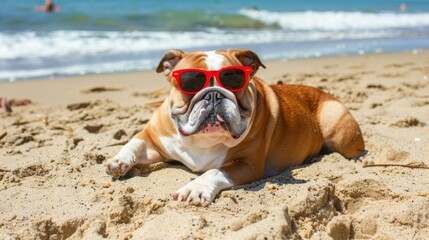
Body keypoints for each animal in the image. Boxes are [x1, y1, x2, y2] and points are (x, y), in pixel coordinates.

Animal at [105, 49, 362, 203]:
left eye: (235, 80)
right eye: (190, 82)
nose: (213, 94)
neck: (202, 140)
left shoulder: (247, 164)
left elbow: (215, 171)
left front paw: (195, 188)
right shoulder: (154, 138)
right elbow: (134, 143)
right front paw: (118, 161)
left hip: (341, 133)